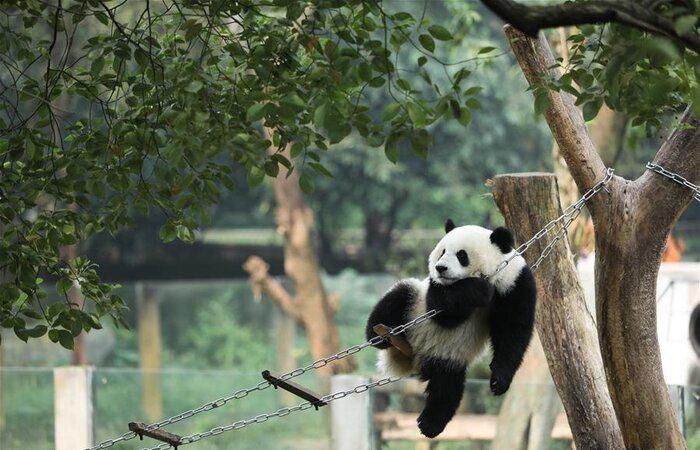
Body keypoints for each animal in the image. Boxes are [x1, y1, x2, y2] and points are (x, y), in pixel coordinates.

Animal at [366, 220, 536, 438]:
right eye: (442, 251)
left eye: (462, 255)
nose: (440, 268)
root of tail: (413, 358)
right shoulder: (435, 288)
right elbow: (443, 310)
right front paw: (477, 290)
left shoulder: (515, 282)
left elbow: (513, 330)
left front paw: (499, 380)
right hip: (413, 306)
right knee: (400, 293)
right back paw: (382, 334)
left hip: (449, 358)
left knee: (447, 387)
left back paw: (429, 425)